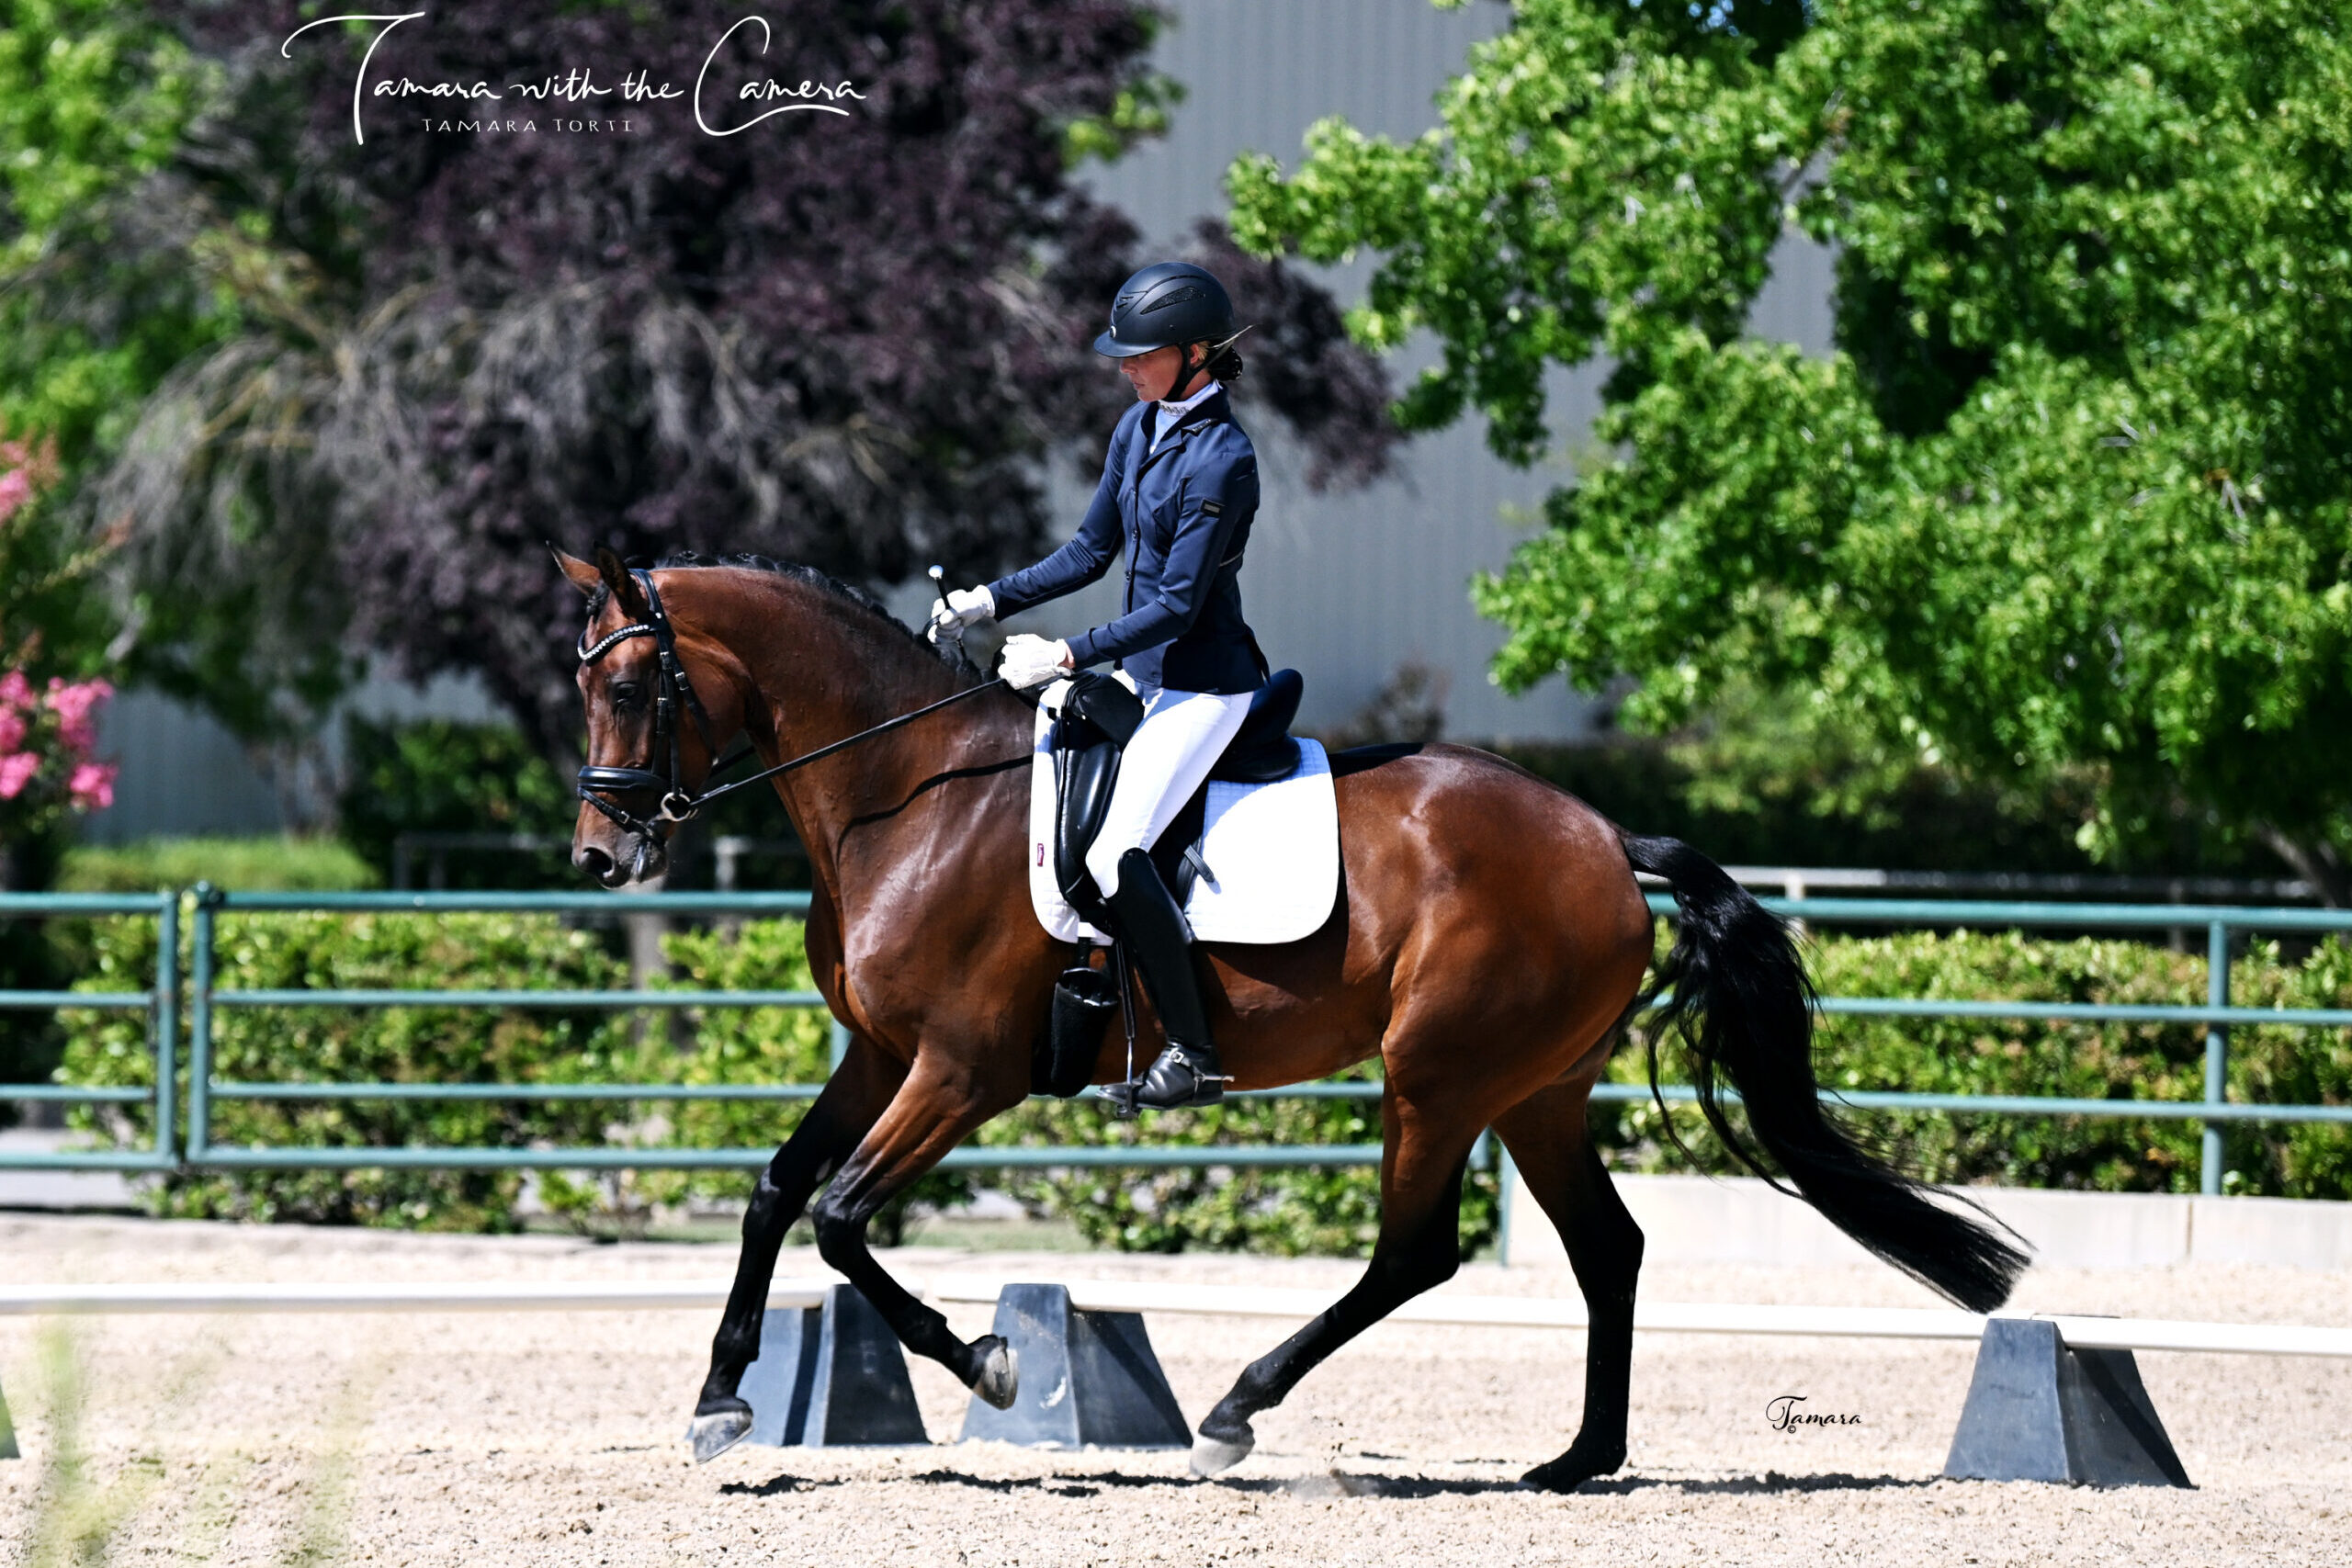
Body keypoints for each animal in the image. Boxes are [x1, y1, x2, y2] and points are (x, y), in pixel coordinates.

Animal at [555, 546, 2027, 1490]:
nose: (600, 856)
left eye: (630, 690)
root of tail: (1607, 836)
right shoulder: (878, 1055)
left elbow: (843, 1217)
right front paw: (720, 1401)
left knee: (1415, 1253)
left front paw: (988, 1365)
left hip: (1438, 1075)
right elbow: (773, 1191)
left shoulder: (960, 1072)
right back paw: (1576, 1460)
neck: (906, 793)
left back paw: (1234, 1411)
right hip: (1534, 1090)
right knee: (1606, 1247)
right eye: (583, 687)